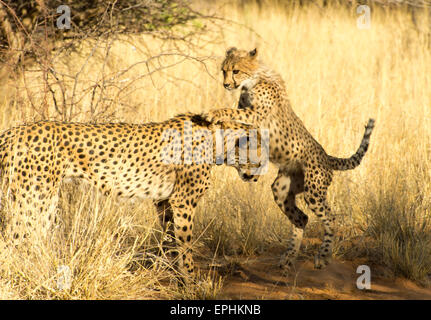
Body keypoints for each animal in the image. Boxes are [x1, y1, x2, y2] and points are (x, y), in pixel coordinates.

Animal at [0, 114, 266, 278]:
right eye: (257, 149)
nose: (259, 171)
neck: (219, 143)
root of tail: (12, 131)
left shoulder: (164, 201)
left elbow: (170, 241)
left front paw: (173, 273)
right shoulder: (183, 201)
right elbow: (186, 244)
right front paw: (193, 282)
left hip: (40, 200)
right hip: (34, 198)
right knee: (14, 239)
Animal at [206, 46, 374, 268]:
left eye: (235, 71)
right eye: (223, 71)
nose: (226, 84)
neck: (253, 79)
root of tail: (327, 156)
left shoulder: (255, 115)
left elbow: (230, 113)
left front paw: (213, 114)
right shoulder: (248, 115)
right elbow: (236, 120)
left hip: (314, 191)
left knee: (330, 218)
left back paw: (322, 255)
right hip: (282, 188)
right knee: (302, 218)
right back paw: (289, 257)